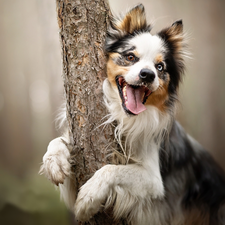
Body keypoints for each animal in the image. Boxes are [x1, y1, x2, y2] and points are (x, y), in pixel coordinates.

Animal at [40, 3, 225, 225]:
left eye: (160, 67)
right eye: (130, 57)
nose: (147, 75)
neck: (125, 118)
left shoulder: (153, 181)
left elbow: (111, 170)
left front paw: (88, 198)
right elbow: (57, 142)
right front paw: (54, 162)